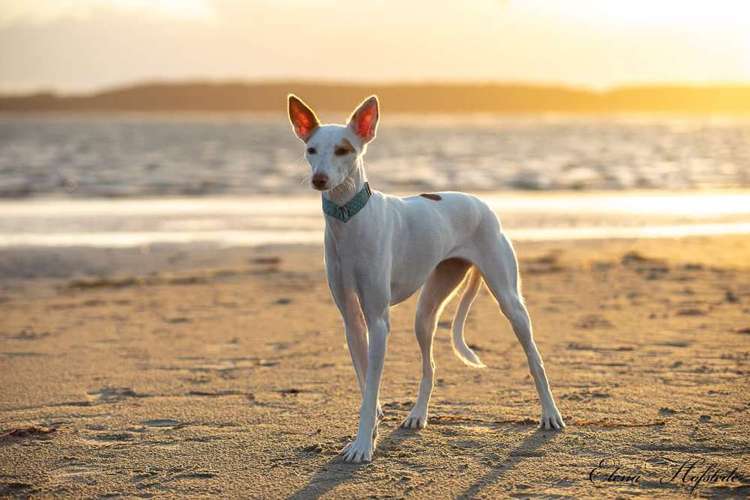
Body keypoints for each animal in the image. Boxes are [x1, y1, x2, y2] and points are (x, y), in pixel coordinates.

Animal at [288, 93, 564, 460]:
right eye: (311, 149)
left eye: (344, 150)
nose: (319, 179)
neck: (349, 220)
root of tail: (481, 203)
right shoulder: (352, 319)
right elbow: (365, 383)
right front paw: (369, 432)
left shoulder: (378, 320)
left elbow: (372, 386)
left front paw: (362, 445)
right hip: (426, 309)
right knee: (430, 367)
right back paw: (417, 415)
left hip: (510, 300)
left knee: (535, 360)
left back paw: (550, 414)